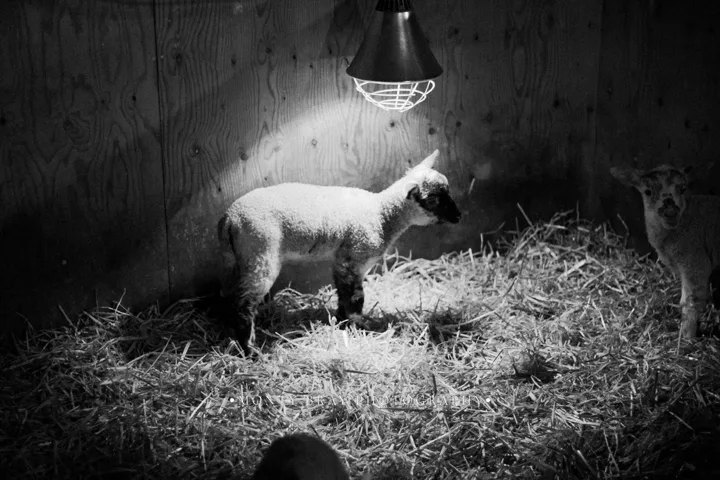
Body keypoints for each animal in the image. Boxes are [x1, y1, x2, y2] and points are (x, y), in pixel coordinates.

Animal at [217, 149, 462, 354]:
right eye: (433, 200)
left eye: (449, 190)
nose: (459, 216)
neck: (383, 215)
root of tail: (230, 217)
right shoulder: (352, 257)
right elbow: (355, 296)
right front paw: (358, 324)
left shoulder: (345, 260)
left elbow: (345, 296)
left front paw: (343, 322)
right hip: (261, 250)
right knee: (244, 304)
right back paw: (250, 350)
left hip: (244, 256)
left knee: (231, 293)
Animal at [611, 163, 720, 339]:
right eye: (648, 191)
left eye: (682, 189)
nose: (670, 211)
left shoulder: (695, 260)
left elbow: (691, 301)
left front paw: (686, 337)